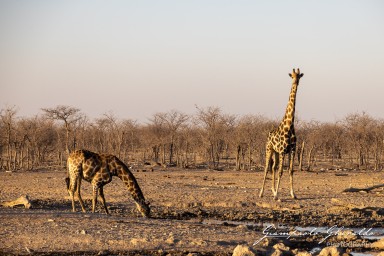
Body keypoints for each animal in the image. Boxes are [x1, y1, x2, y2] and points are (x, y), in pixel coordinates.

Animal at [260, 68, 304, 200]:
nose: (295, 82)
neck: (289, 126)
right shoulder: (283, 151)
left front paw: (293, 194)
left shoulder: (292, 150)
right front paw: (276, 196)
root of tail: (268, 134)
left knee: (273, 167)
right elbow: (281, 172)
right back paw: (261, 193)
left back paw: (273, 190)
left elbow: (290, 170)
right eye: (292, 76)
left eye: (299, 76)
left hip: (276, 152)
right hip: (269, 149)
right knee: (266, 168)